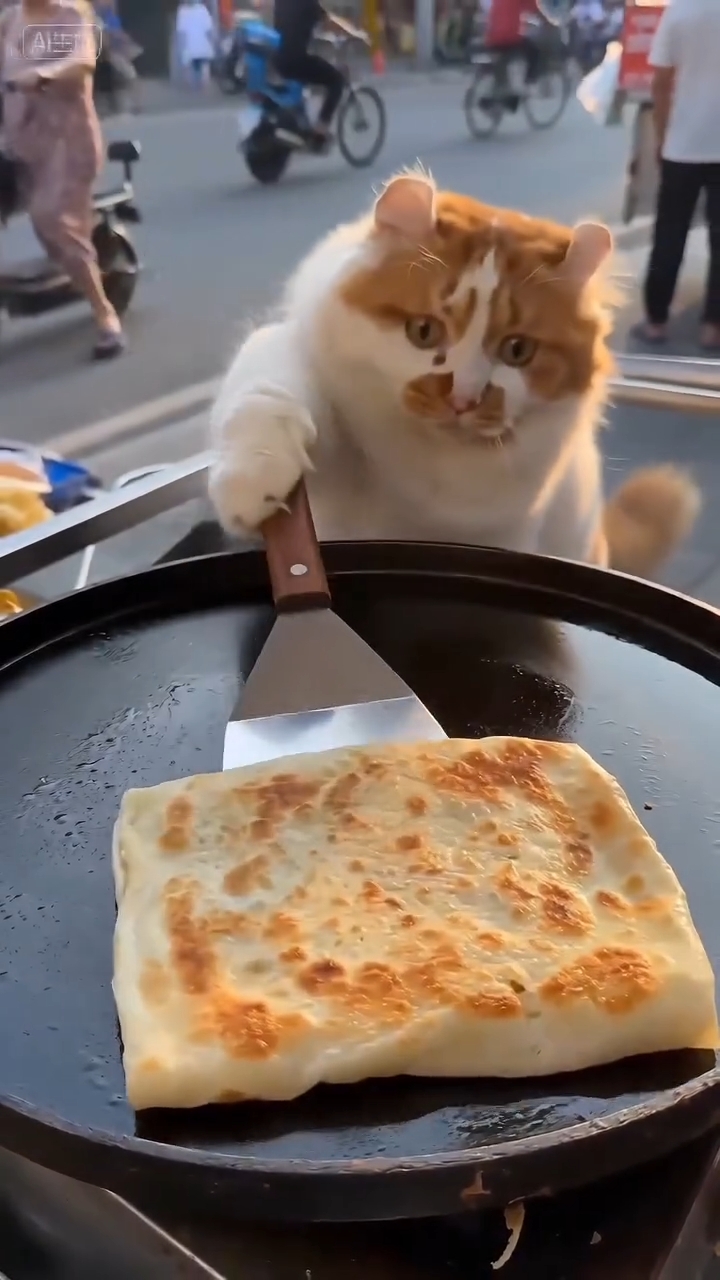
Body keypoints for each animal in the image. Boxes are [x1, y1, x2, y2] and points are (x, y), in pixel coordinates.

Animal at [209, 170, 699, 577]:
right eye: (424, 331)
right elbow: (267, 396)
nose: (462, 398)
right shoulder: (298, 367)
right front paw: (251, 481)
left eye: (517, 350)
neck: (424, 466)